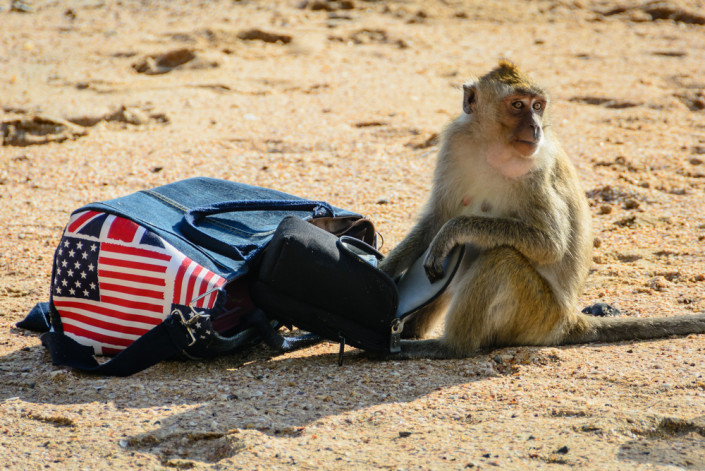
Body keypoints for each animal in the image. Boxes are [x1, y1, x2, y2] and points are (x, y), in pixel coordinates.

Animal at [379, 60, 705, 359]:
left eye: (537, 106)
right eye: (517, 105)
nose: (535, 127)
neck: (492, 147)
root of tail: (569, 320)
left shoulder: (537, 168)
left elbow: (550, 244)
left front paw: (453, 230)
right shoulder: (455, 144)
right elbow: (436, 220)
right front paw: (383, 272)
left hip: (538, 313)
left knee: (502, 259)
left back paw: (448, 347)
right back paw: (413, 331)